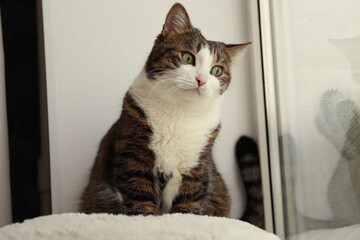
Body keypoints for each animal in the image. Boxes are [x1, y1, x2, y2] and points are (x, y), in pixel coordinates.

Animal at [79, 2, 250, 218]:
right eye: (187, 57)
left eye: (217, 71)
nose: (201, 80)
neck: (180, 113)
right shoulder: (134, 157)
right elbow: (139, 199)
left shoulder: (196, 167)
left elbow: (188, 203)